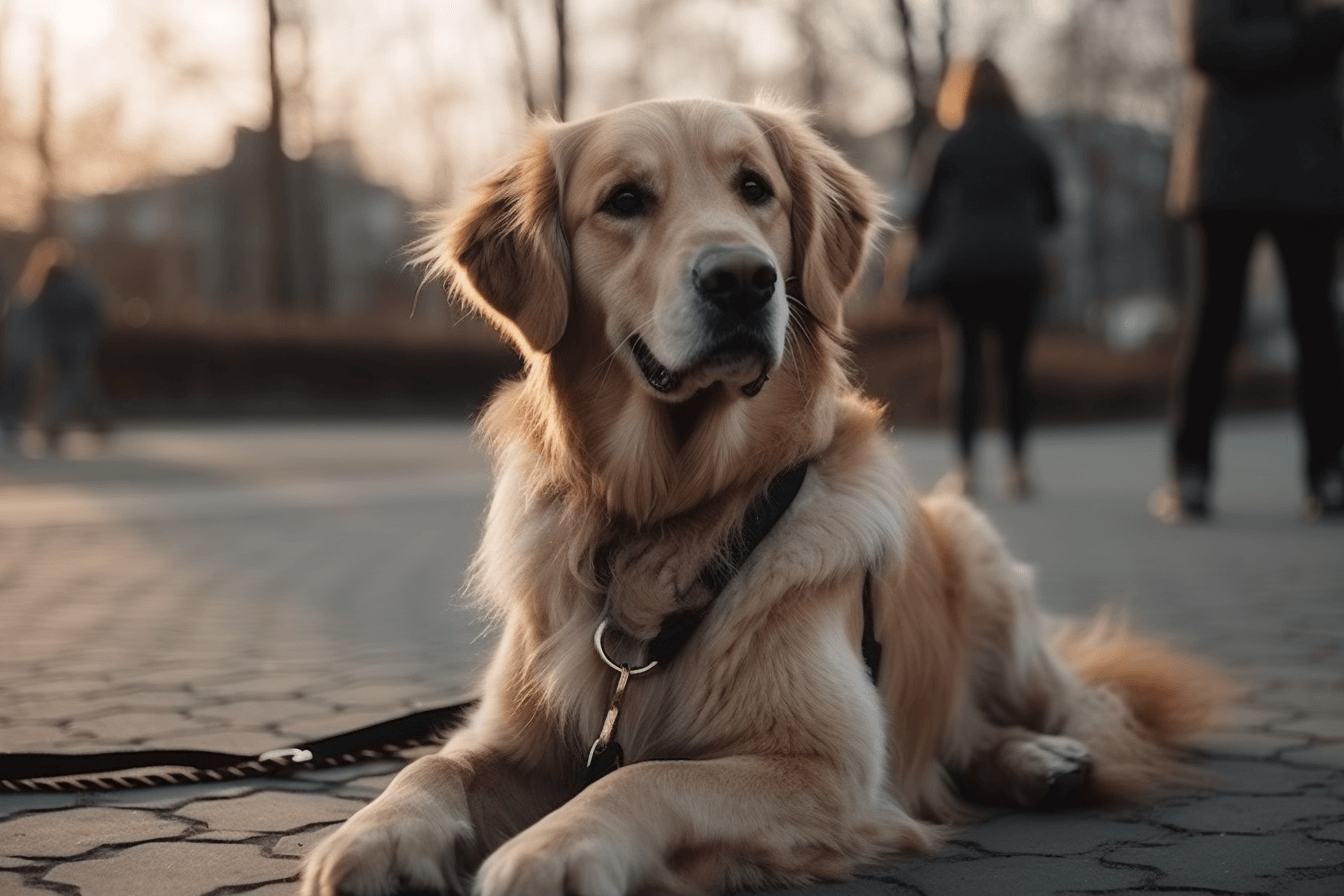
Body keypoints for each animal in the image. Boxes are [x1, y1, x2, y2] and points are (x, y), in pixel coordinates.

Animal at [302, 98, 1231, 896]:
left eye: (755, 189)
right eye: (625, 200)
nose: (742, 279)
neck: (667, 512)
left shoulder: (828, 768)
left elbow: (646, 777)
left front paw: (555, 850)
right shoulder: (515, 738)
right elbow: (433, 763)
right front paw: (375, 835)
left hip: (983, 563)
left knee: (1075, 710)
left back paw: (1045, 756)